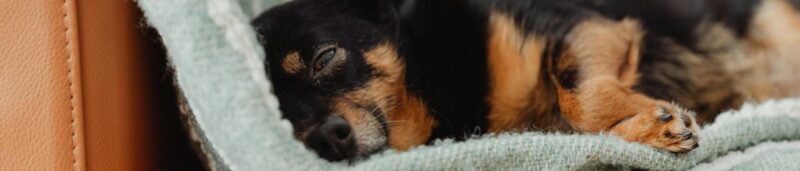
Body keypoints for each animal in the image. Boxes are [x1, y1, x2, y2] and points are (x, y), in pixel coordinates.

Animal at [253, 0, 800, 162]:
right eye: (274, 111)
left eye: (325, 57)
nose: (328, 139)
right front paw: (647, 125)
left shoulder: (585, 26)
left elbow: (578, 96)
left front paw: (651, 122)